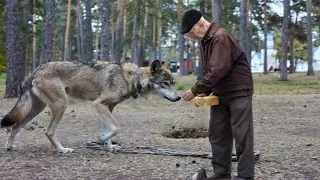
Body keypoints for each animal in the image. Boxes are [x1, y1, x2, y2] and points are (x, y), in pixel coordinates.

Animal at [0, 60, 180, 153]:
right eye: (165, 84)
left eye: (173, 83)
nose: (178, 97)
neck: (132, 78)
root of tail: (36, 70)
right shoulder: (98, 104)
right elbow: (115, 128)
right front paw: (100, 140)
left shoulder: (108, 107)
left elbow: (109, 129)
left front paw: (109, 146)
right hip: (61, 105)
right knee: (48, 131)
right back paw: (63, 150)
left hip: (35, 110)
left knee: (15, 126)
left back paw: (9, 146)